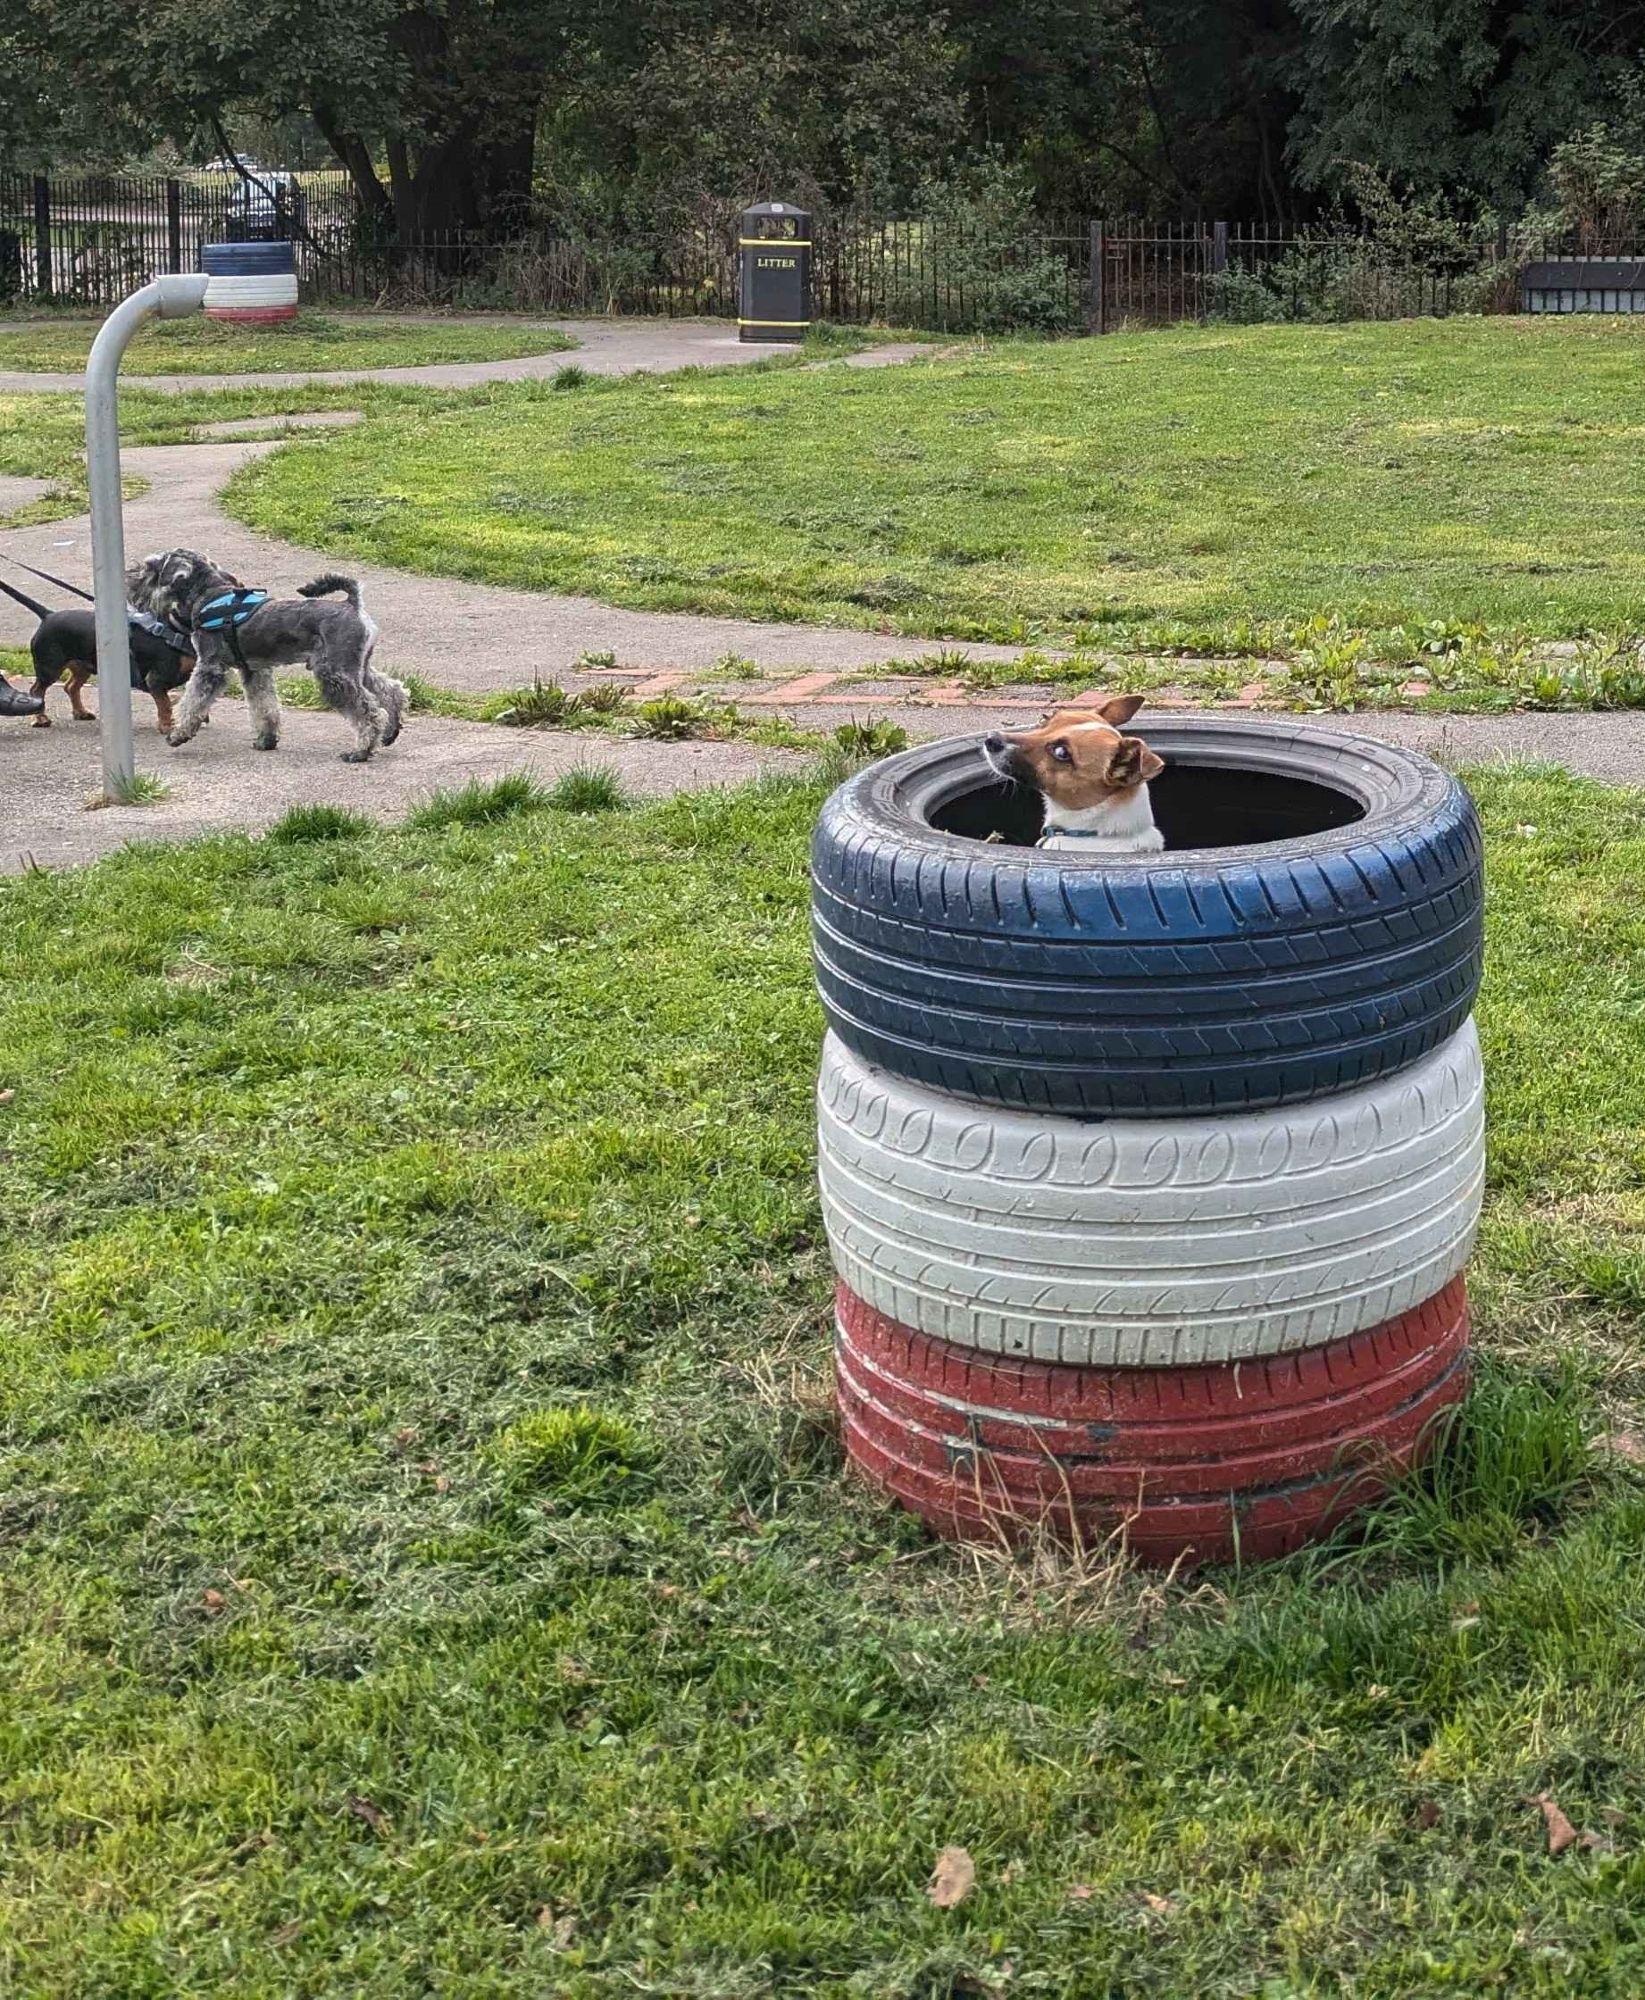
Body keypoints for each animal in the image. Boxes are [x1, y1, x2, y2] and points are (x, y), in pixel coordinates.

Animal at [125, 548, 408, 756]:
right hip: (358, 668)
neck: (210, 595)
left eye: (152, 568)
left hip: (336, 674)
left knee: (369, 711)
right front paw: (266, 740)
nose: (130, 578)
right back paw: (391, 732)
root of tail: (352, 604)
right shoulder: (254, 671)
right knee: (392, 690)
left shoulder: (210, 667)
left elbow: (192, 702)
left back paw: (362, 751)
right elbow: (264, 706)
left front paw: (178, 735)